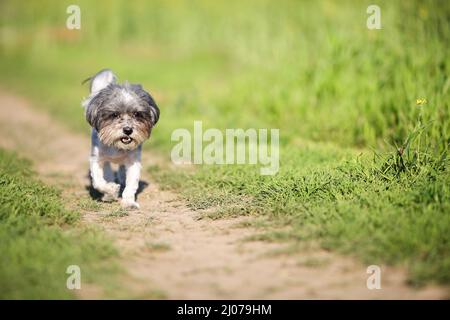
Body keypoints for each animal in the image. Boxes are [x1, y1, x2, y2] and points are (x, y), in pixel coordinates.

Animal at [82, 69, 160, 209]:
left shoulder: (133, 161)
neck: (117, 145)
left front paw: (129, 202)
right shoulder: (97, 159)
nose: (128, 130)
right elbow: (98, 182)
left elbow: (131, 184)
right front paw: (111, 191)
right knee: (107, 172)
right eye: (114, 114)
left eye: (137, 114)